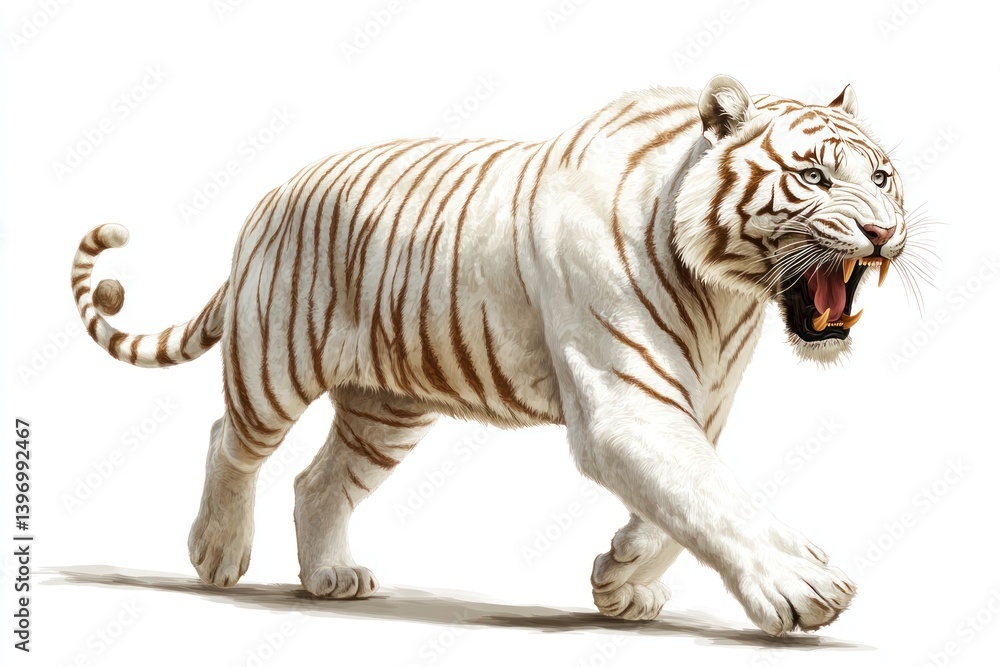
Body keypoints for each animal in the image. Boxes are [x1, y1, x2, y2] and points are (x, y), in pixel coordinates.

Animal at [71, 75, 909, 635]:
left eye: (882, 176)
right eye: (813, 175)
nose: (884, 232)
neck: (725, 293)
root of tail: (272, 195)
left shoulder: (698, 405)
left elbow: (682, 503)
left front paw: (622, 581)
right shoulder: (626, 404)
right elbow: (711, 496)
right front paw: (803, 585)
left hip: (387, 408)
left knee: (318, 482)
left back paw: (332, 576)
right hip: (274, 361)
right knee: (231, 441)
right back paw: (217, 552)